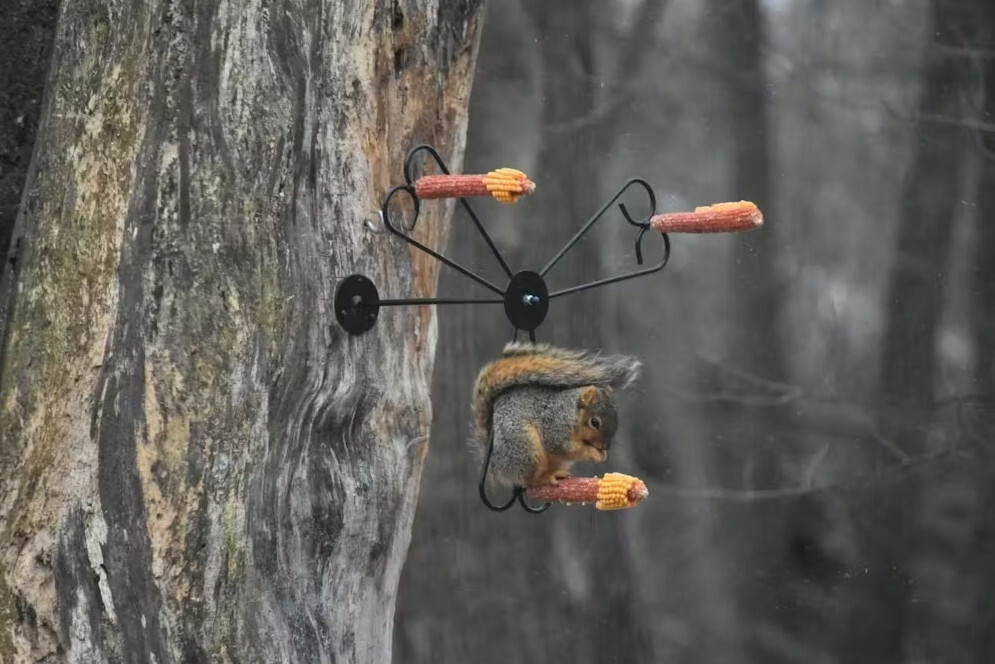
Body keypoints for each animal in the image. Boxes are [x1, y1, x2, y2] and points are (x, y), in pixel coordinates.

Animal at [471, 342, 641, 488]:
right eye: (594, 422)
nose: (605, 447)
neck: (571, 412)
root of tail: (494, 463)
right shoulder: (555, 424)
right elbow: (564, 447)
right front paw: (594, 453)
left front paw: (603, 454)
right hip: (525, 447)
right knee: (530, 481)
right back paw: (546, 478)